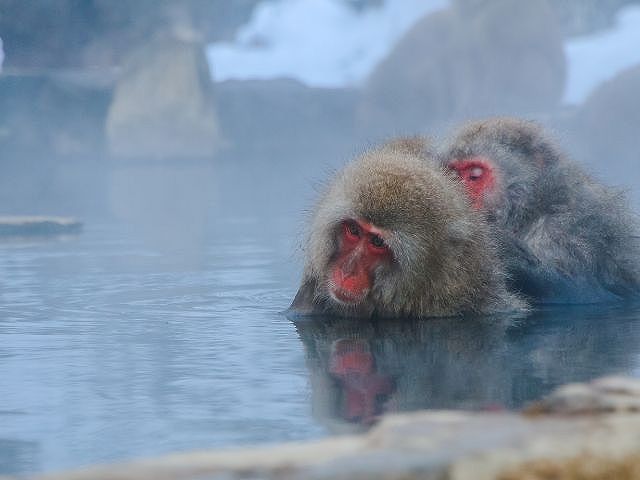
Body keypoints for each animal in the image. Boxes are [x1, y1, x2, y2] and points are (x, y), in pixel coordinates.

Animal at [442, 117, 640, 304]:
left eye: (475, 175)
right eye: (453, 175)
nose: (458, 197)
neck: (533, 207)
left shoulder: (571, 226)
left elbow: (582, 292)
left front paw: (503, 248)